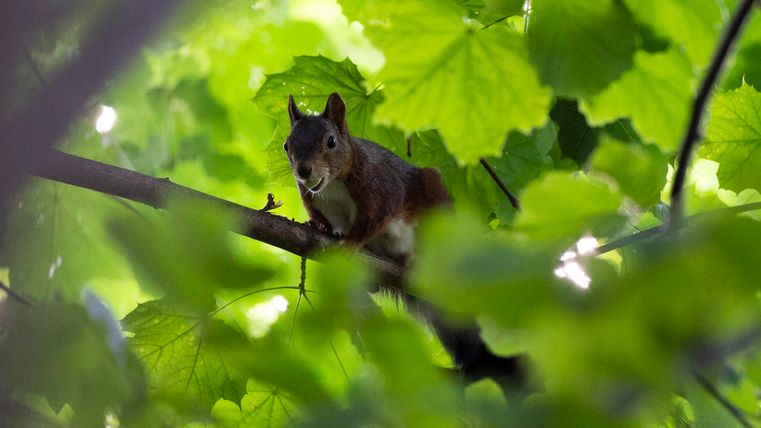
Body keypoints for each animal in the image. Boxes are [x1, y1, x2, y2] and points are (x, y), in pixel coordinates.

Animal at [284, 93, 524, 390]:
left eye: (331, 141)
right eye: (286, 145)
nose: (303, 171)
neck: (332, 185)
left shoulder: (381, 186)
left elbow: (375, 218)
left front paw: (352, 242)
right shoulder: (311, 198)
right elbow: (322, 218)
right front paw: (315, 226)